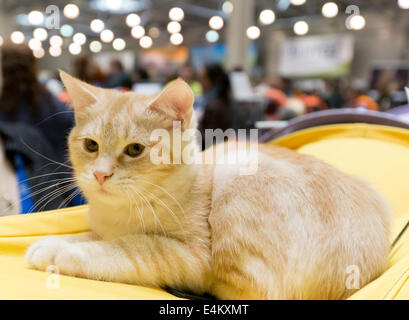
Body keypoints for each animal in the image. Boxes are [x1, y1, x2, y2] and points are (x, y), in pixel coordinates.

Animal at [24, 70, 388, 300]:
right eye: (91, 145)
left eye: (135, 150)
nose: (100, 175)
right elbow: (94, 236)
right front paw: (59, 239)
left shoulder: (192, 256)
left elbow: (125, 247)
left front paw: (60, 249)